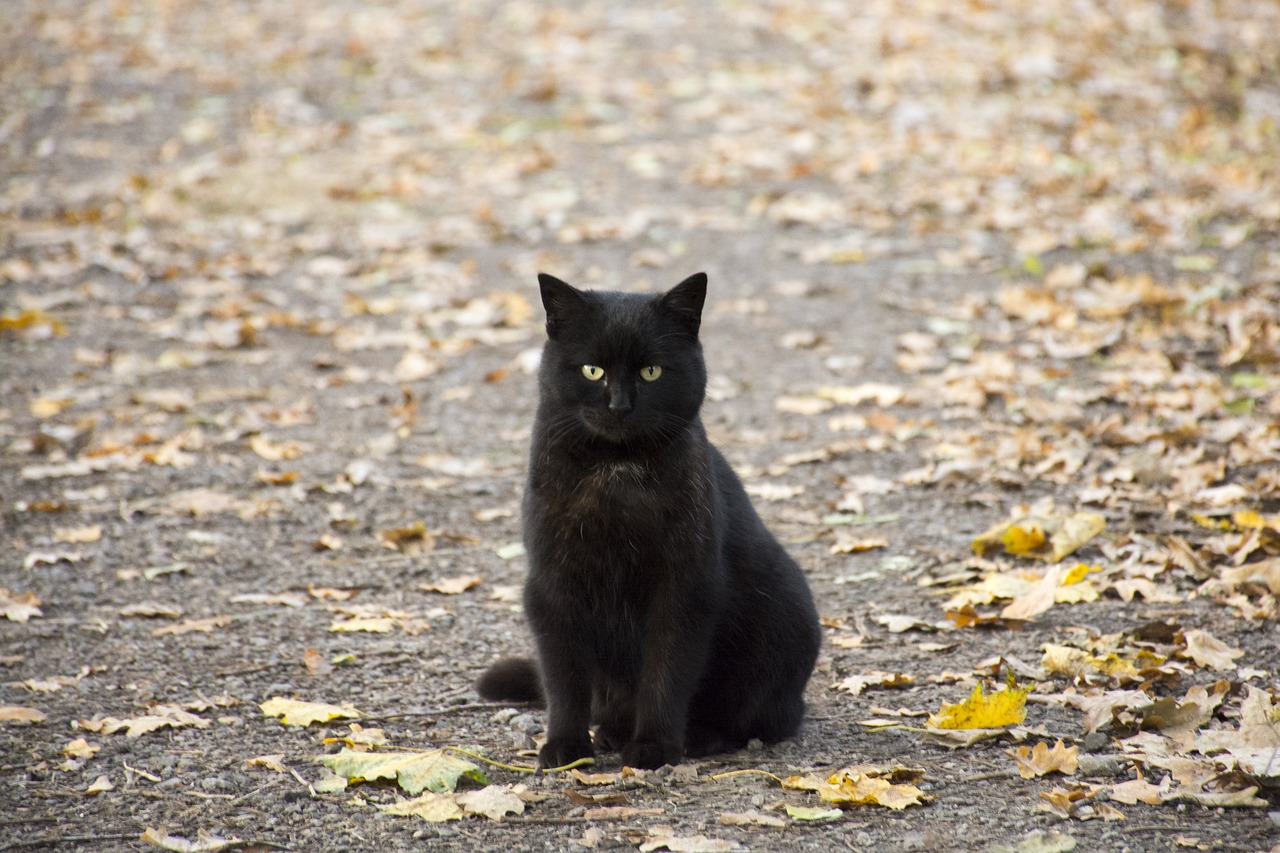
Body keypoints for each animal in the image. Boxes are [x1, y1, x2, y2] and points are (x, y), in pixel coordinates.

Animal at [481, 272, 819, 768]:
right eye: (593, 370)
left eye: (652, 372)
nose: (620, 406)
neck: (616, 472)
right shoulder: (552, 584)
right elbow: (563, 677)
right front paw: (566, 746)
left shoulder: (683, 586)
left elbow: (666, 671)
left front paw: (654, 747)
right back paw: (611, 732)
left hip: (784, 614)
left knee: (763, 717)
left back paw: (699, 737)